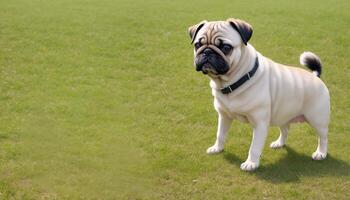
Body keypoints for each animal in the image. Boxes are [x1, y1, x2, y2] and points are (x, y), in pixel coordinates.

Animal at [189, 18, 328, 171]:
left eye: (226, 47)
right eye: (197, 45)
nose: (207, 51)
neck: (231, 82)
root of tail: (315, 76)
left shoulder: (260, 123)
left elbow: (254, 147)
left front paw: (251, 163)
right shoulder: (224, 116)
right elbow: (220, 134)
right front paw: (217, 148)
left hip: (317, 119)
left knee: (323, 137)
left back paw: (321, 153)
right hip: (283, 115)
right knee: (285, 130)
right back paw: (279, 143)